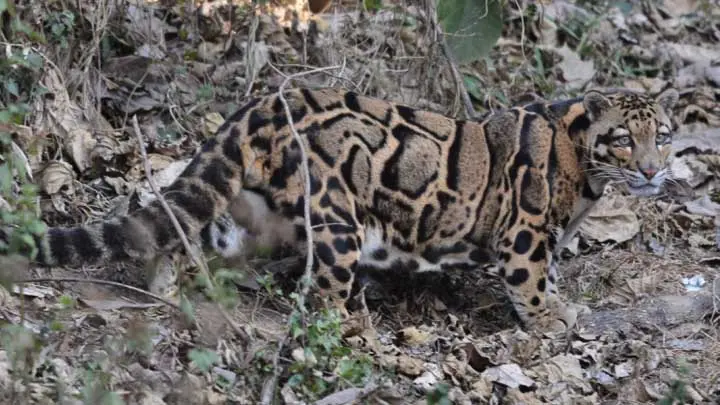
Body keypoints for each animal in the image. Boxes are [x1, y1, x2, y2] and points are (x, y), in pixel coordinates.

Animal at [15, 86, 679, 335]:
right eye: (625, 139)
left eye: (665, 136)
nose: (652, 170)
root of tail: (262, 104)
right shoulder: (525, 234)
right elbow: (533, 283)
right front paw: (550, 320)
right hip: (337, 219)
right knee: (322, 299)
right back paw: (351, 330)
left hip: (251, 217)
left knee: (184, 232)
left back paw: (166, 290)